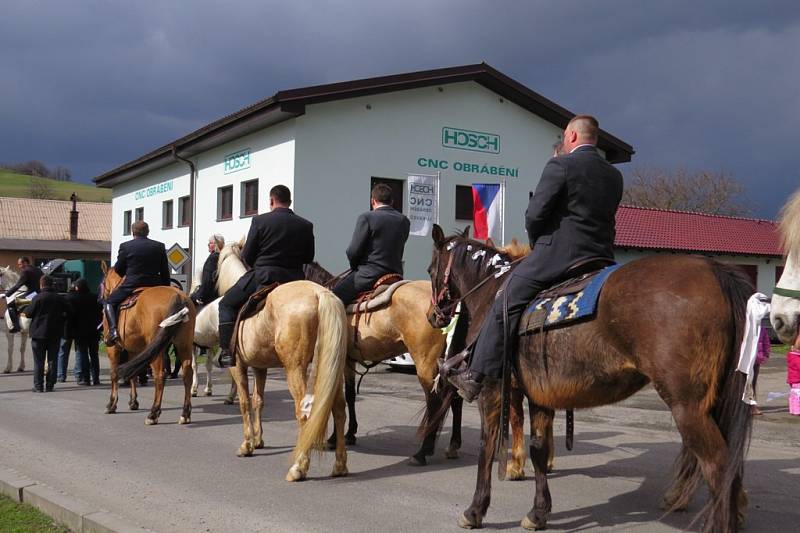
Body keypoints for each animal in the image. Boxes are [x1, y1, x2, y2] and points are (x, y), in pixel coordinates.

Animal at [100, 264, 197, 426]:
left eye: (101, 283)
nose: (101, 298)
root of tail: (179, 296)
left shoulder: (113, 348)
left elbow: (114, 373)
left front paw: (112, 404)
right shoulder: (133, 349)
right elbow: (133, 374)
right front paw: (133, 402)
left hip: (157, 351)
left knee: (160, 376)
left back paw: (153, 413)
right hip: (184, 344)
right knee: (187, 375)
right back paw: (185, 414)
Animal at [217, 243, 348, 480]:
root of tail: (320, 293)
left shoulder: (237, 366)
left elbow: (244, 402)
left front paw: (247, 445)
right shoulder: (260, 367)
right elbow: (258, 400)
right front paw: (258, 440)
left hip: (295, 369)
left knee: (304, 412)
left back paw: (299, 468)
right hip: (334, 368)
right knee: (340, 411)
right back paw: (340, 465)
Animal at [428, 224, 752, 532]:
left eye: (431, 269)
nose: (433, 316)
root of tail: (716, 271)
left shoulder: (492, 391)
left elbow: (487, 445)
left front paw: (475, 510)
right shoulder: (539, 393)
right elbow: (539, 449)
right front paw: (538, 512)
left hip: (688, 408)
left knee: (718, 465)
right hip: (714, 404)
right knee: (730, 465)